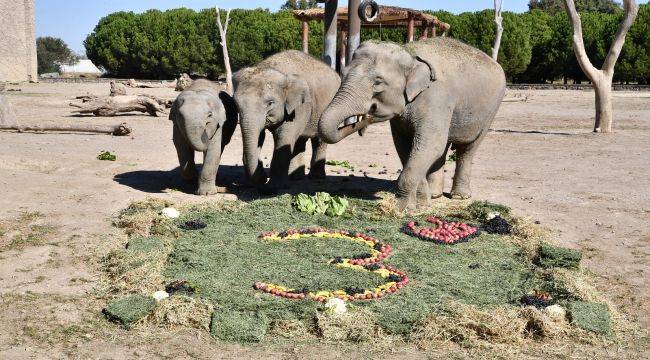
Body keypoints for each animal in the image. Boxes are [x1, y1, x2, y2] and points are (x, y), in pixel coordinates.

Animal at [230, 50, 346, 191]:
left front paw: (272, 188)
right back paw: (295, 177)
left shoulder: (300, 106)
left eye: (270, 103)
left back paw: (316, 177)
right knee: (299, 141)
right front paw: (254, 183)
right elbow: (260, 136)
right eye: (235, 103)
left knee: (319, 140)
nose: (263, 179)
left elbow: (284, 136)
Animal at [318, 37, 506, 211]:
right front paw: (421, 203)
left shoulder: (436, 98)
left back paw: (460, 196)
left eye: (378, 82)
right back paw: (435, 194)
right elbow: (406, 146)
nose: (366, 119)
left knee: (467, 149)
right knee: (443, 149)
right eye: (343, 73)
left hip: (490, 111)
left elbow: (429, 145)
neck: (409, 54)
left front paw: (401, 208)